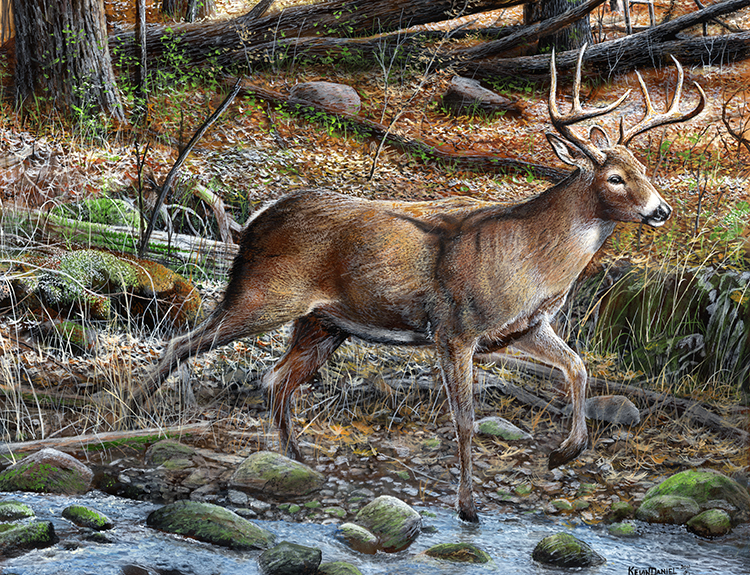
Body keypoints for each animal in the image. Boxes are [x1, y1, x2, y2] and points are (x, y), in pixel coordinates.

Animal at [141, 45, 704, 523]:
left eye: (644, 168)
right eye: (614, 177)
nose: (662, 210)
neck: (530, 261)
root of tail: (251, 222)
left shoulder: (522, 327)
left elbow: (580, 368)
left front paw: (563, 453)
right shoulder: (454, 328)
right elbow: (465, 420)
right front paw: (469, 507)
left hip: (322, 323)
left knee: (275, 379)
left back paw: (299, 463)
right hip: (263, 294)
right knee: (181, 342)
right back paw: (136, 409)